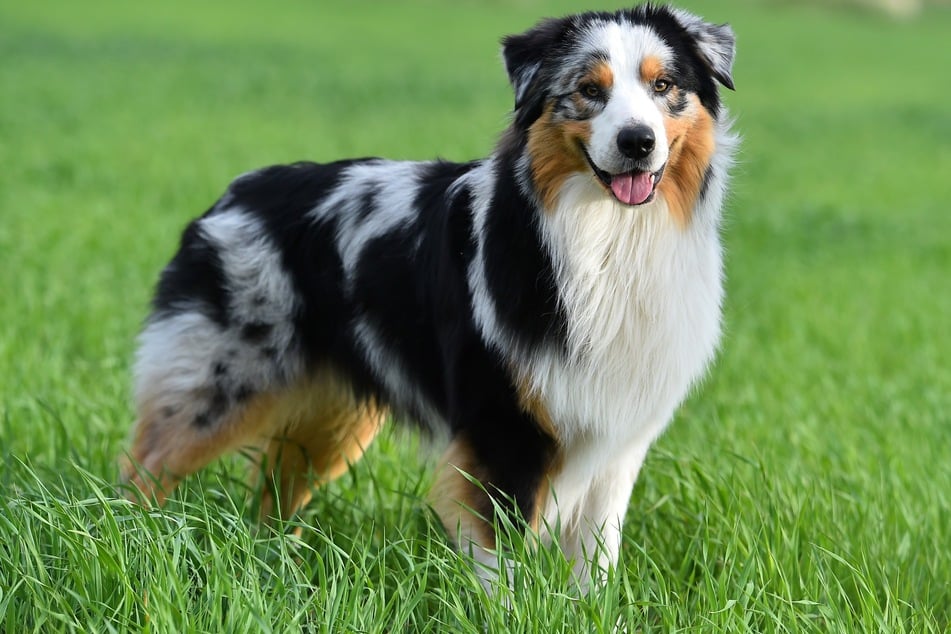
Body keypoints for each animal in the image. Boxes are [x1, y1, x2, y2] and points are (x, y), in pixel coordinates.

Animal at [122, 4, 740, 584]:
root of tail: (234, 192)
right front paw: (513, 612)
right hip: (221, 378)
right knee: (144, 464)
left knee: (275, 488)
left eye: (664, 85)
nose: (637, 141)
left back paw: (277, 566)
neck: (610, 237)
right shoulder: (499, 427)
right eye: (590, 90)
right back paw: (132, 544)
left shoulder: (615, 434)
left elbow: (595, 561)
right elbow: (500, 557)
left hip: (331, 412)